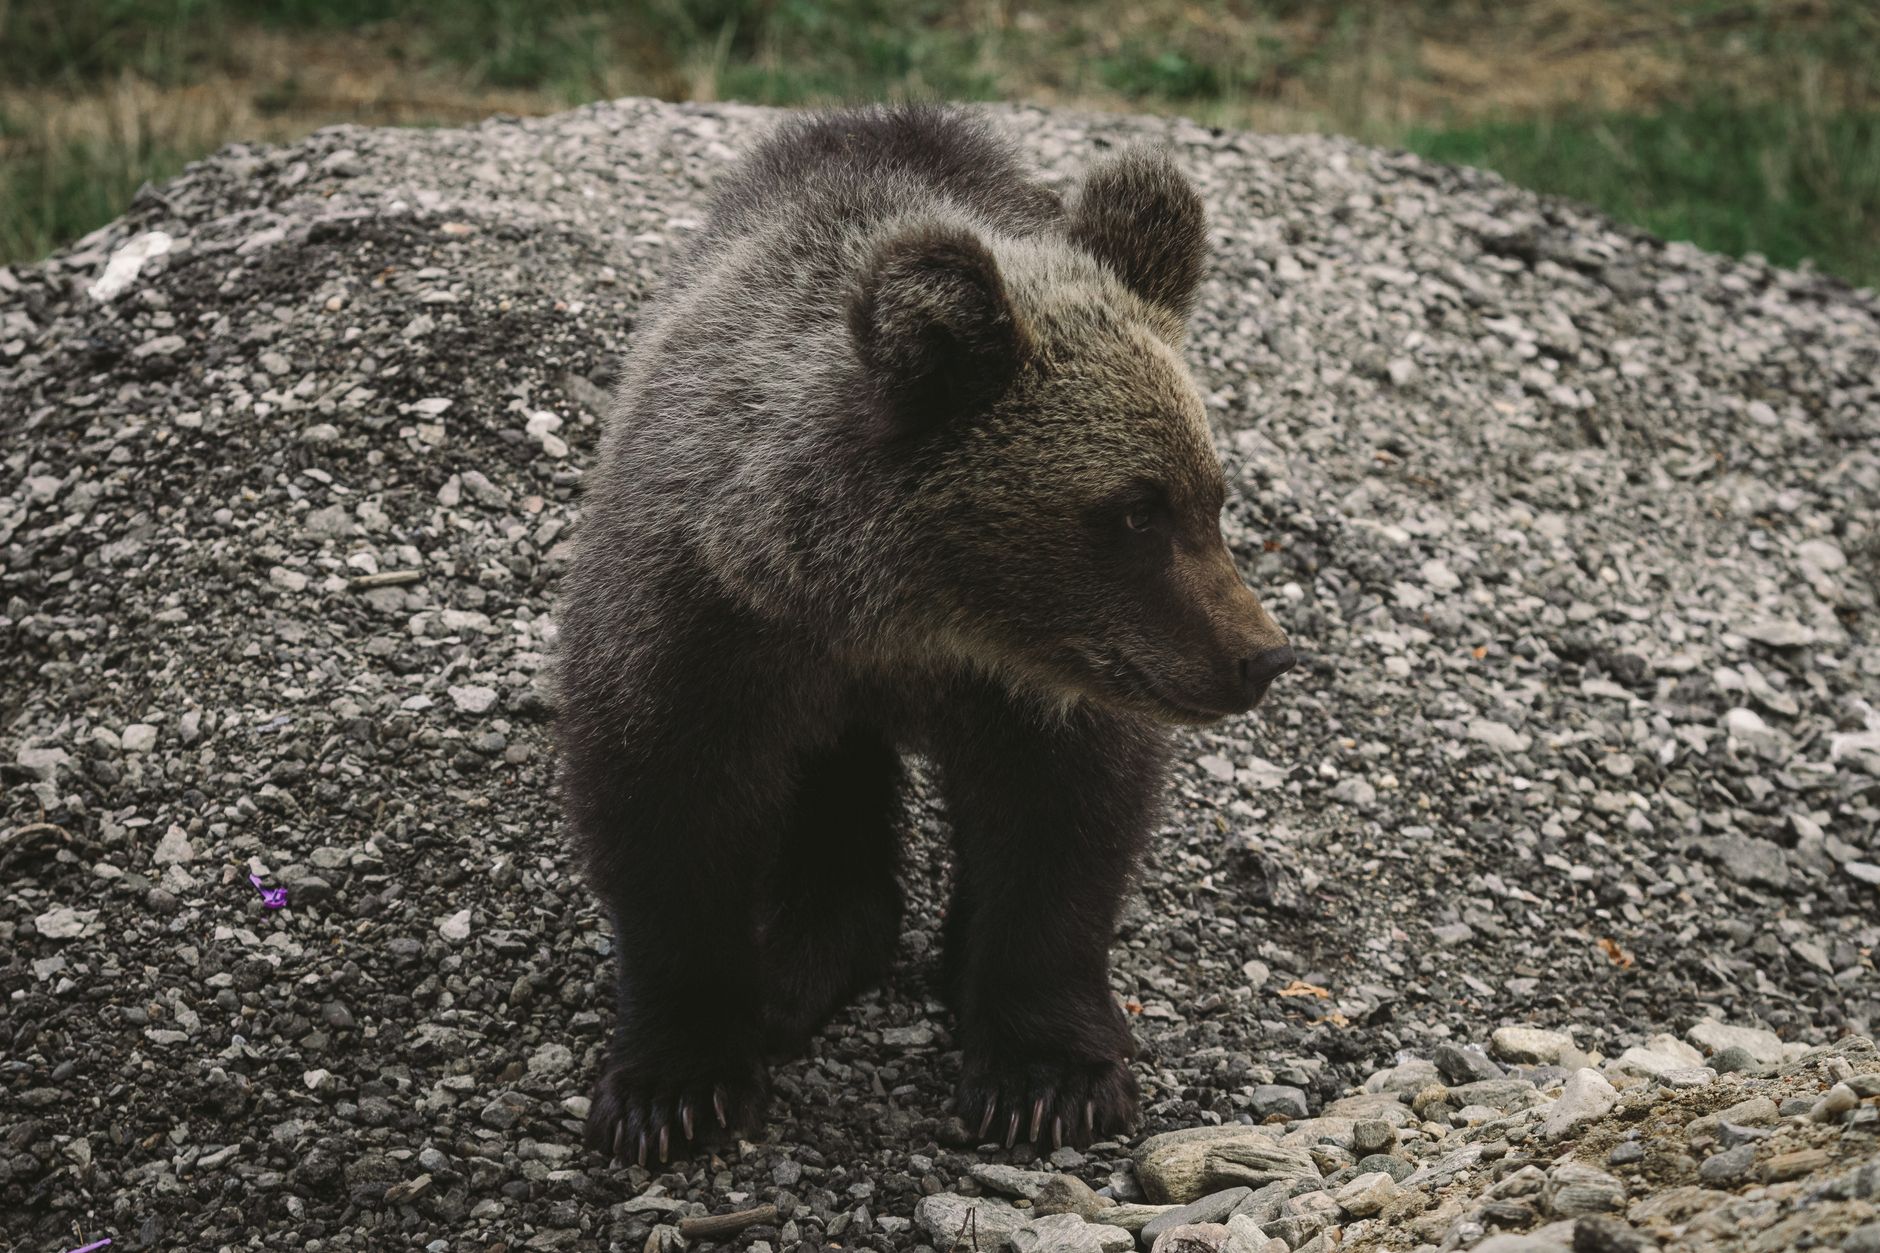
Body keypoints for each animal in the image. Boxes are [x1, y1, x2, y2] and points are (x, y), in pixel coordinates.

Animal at [556, 103, 1294, 1165]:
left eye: (1212, 500)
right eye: (1133, 511)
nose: (1262, 655)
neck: (901, 612)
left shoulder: (1052, 685)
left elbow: (1061, 828)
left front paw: (1046, 1076)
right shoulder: (701, 626)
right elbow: (667, 815)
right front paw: (674, 1086)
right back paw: (804, 953)